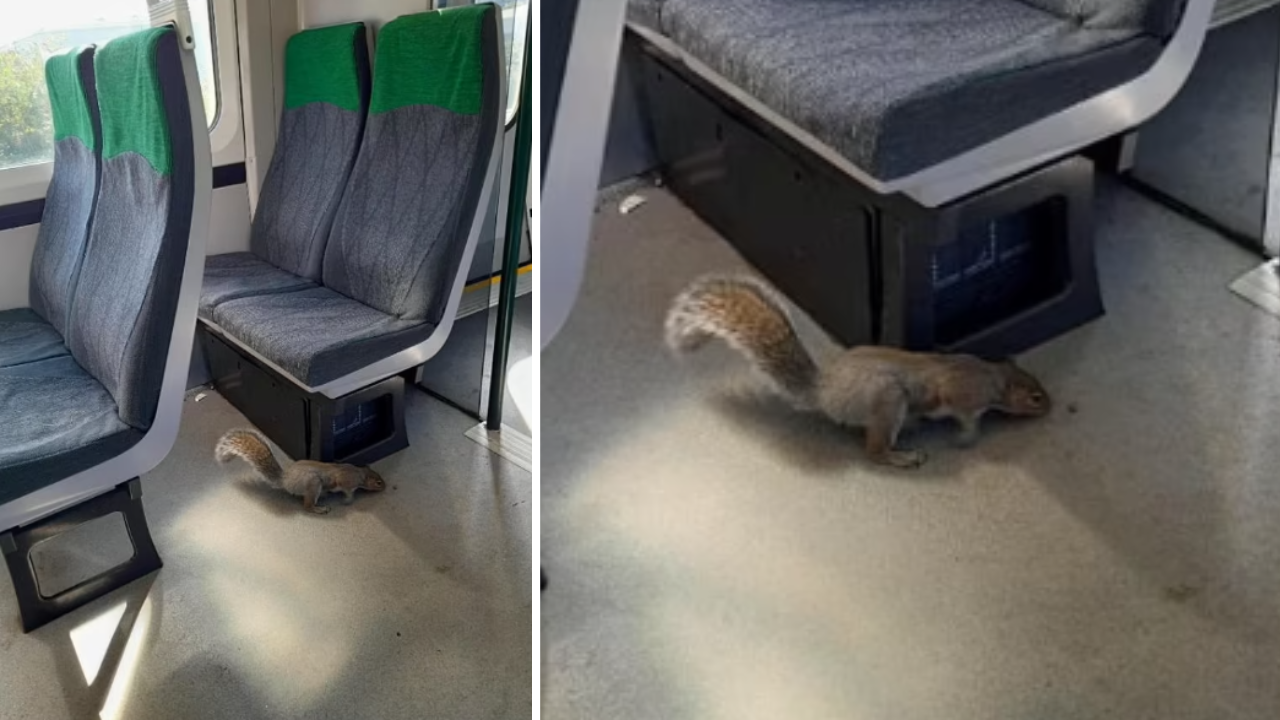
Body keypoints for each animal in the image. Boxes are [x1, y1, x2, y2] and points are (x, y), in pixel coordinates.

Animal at [216, 425, 384, 509]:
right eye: (378, 482)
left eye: (380, 477)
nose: (385, 487)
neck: (360, 473)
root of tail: (285, 480)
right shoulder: (347, 482)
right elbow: (347, 491)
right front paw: (348, 501)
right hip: (313, 483)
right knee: (307, 506)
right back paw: (318, 509)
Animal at [660, 272, 1049, 466]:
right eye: (1034, 397)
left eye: (1038, 385)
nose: (1050, 406)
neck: (994, 378)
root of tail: (825, 392)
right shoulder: (965, 394)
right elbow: (965, 417)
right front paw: (967, 437)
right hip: (887, 399)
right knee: (873, 451)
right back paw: (902, 456)